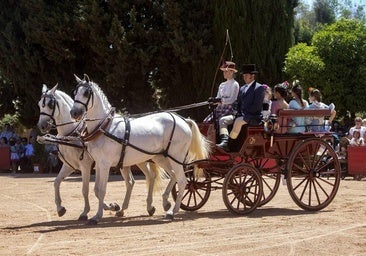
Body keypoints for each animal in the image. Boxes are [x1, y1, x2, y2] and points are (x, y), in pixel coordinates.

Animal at [37, 84, 166, 220]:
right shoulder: (69, 166)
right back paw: (125, 209)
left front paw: (87, 212)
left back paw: (149, 206)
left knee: (150, 176)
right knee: (132, 181)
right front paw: (60, 208)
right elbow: (57, 182)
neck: (73, 133)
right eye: (39, 104)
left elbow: (86, 189)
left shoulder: (86, 166)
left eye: (50, 104)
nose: (42, 126)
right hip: (127, 162)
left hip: (141, 159)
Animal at [70, 74, 210, 224]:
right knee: (173, 176)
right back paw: (165, 203)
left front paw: (97, 216)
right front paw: (112, 207)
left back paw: (172, 211)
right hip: (161, 158)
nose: (74, 113)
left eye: (86, 93)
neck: (104, 127)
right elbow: (96, 190)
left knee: (182, 181)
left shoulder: (105, 164)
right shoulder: (98, 164)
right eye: (74, 92)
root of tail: (183, 120)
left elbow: (101, 190)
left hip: (175, 158)